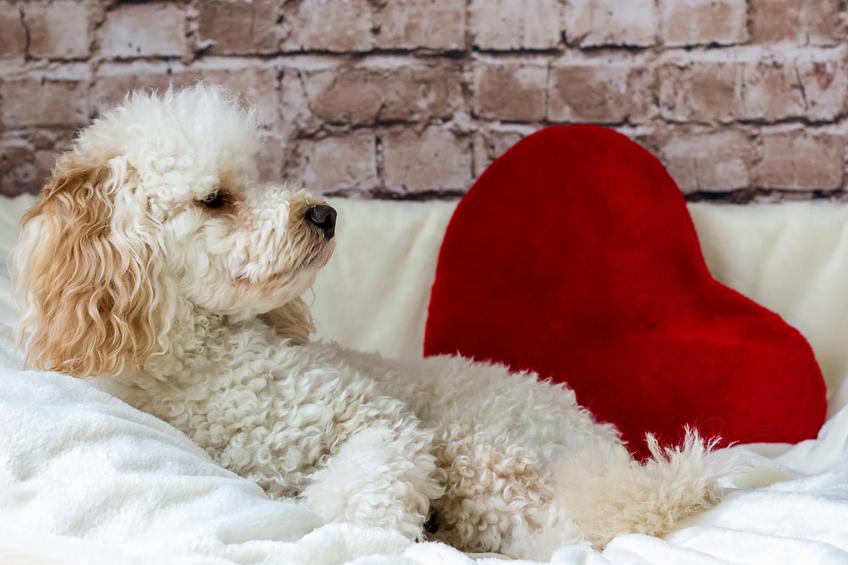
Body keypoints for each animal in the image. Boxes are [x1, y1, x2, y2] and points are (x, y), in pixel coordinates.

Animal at [13, 84, 724, 559]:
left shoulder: (381, 423)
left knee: (572, 536)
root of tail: (602, 443)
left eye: (257, 175)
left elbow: (362, 491)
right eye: (215, 199)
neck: (213, 360)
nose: (325, 213)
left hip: (481, 447)